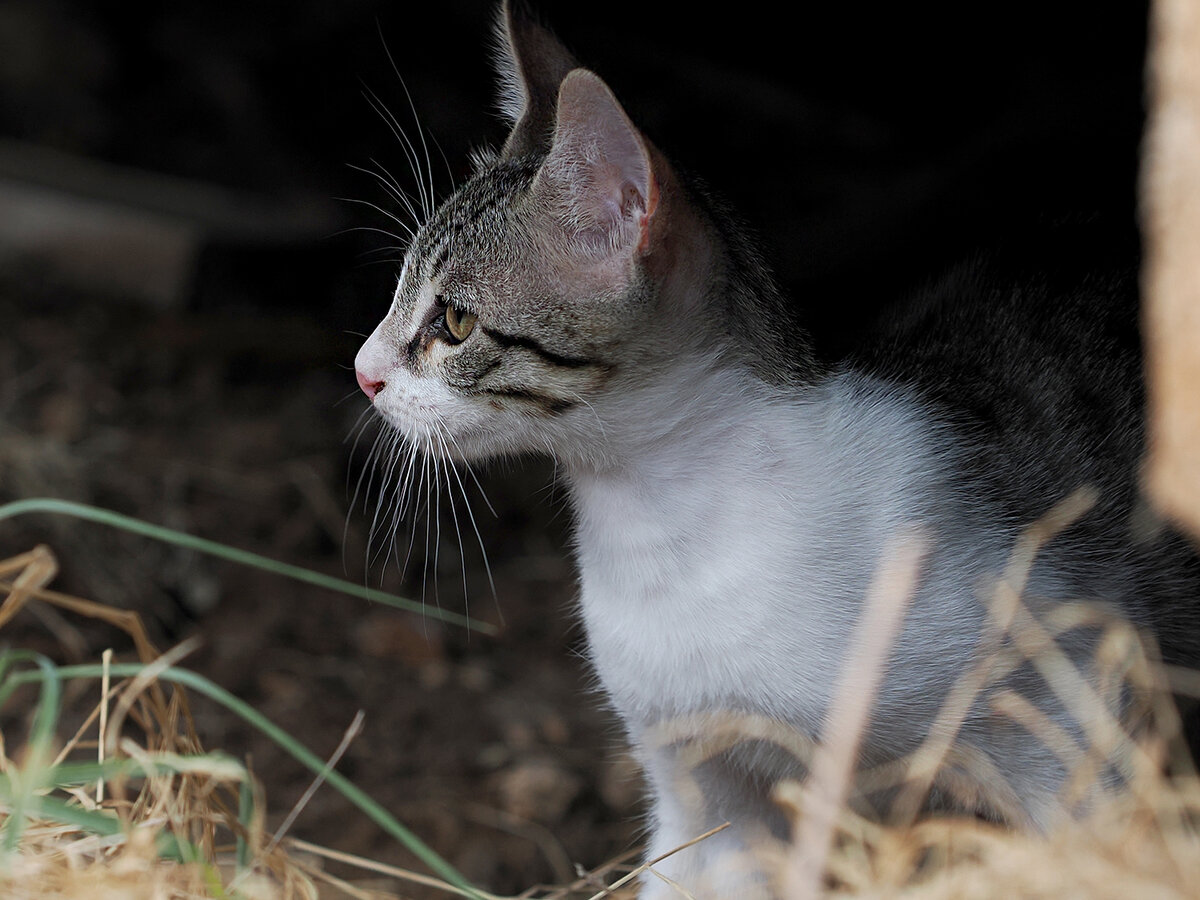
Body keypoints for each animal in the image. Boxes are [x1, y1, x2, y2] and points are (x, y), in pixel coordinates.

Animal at [350, 3, 1200, 897]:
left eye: (454, 323)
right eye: (399, 291)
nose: (362, 372)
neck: (664, 529)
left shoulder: (1075, 720)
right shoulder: (701, 793)